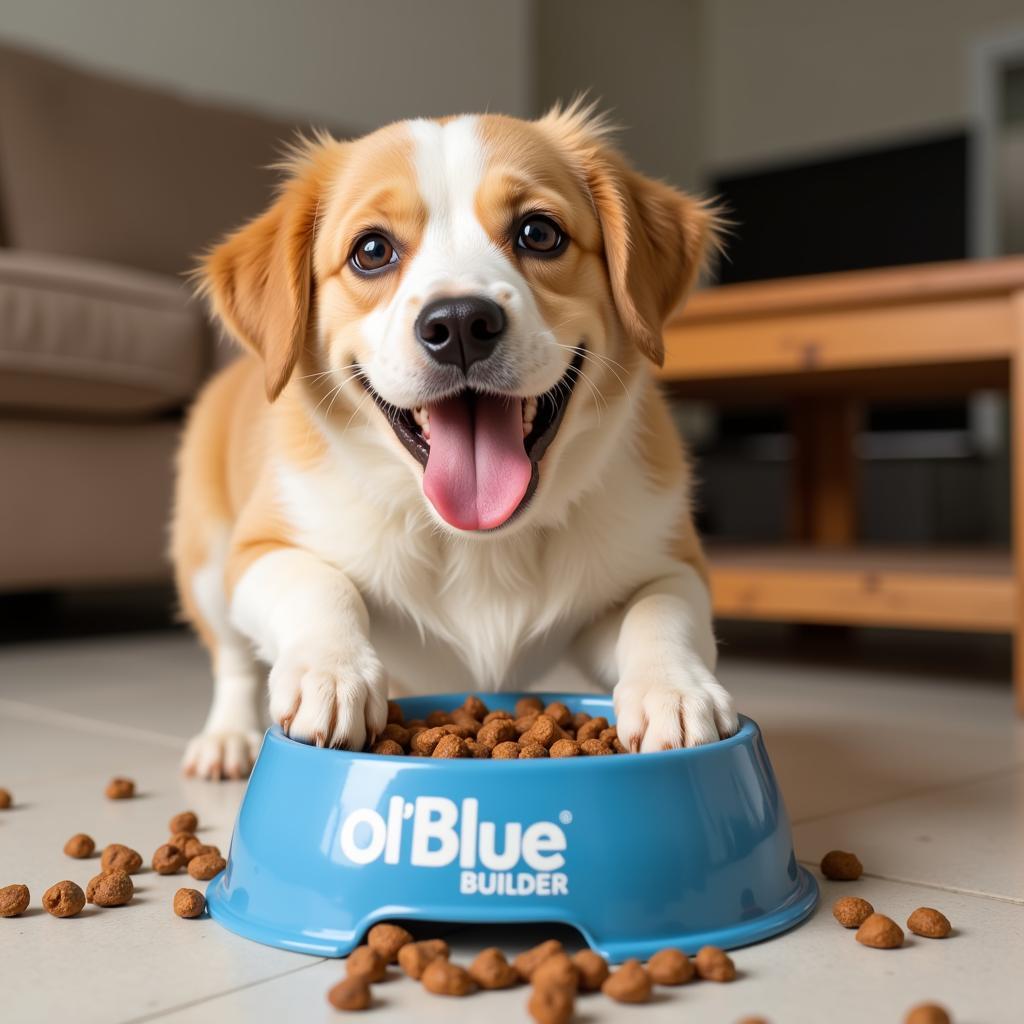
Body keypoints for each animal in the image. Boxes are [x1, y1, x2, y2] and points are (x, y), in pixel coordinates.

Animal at [174, 101, 737, 774]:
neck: (479, 544)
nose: (461, 323)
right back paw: (226, 739)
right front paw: (331, 674)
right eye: (371, 250)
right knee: (231, 660)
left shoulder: (667, 560)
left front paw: (674, 691)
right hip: (207, 563)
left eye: (539, 233)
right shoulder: (260, 549)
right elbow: (320, 583)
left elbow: (661, 612)